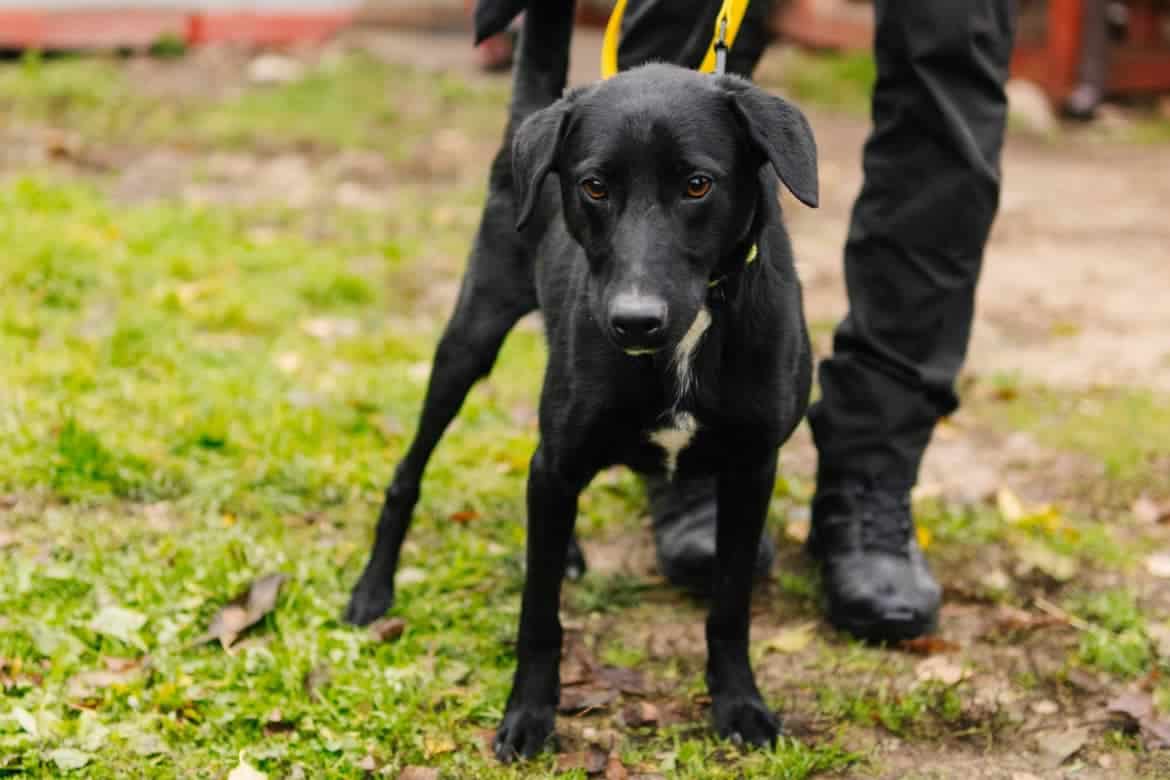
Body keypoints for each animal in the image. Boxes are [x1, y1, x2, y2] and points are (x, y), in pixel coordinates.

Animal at [345, 0, 817, 761]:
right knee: (408, 473)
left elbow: (730, 607)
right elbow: (539, 616)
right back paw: (372, 591)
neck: (690, 336)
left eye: (697, 184)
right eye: (595, 186)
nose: (633, 321)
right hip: (469, 339)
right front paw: (530, 714)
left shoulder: (751, 470)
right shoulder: (559, 460)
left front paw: (739, 705)